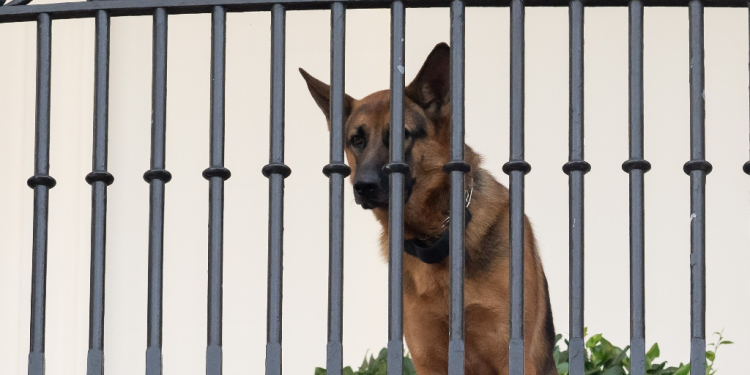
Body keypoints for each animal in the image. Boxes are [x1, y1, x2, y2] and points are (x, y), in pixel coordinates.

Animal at [302, 42, 560, 374]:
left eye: (402, 135)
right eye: (357, 140)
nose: (363, 186)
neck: (435, 236)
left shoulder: (513, 355)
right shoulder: (427, 360)